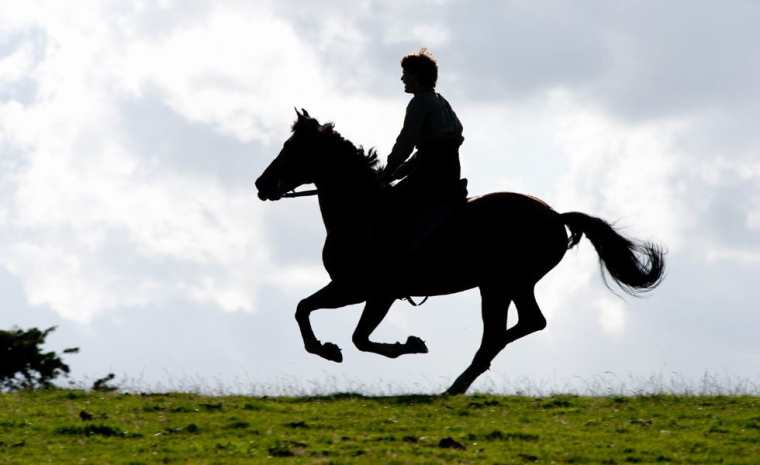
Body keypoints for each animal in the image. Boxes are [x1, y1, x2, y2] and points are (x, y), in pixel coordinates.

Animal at [255, 109, 664, 396]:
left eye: (292, 150)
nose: (261, 184)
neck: (363, 212)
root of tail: (555, 216)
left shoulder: (367, 290)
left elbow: (346, 331)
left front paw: (386, 347)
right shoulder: (359, 290)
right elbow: (310, 312)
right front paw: (332, 348)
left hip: (500, 285)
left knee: (501, 331)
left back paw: (457, 382)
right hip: (509, 285)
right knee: (525, 324)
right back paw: (464, 378)